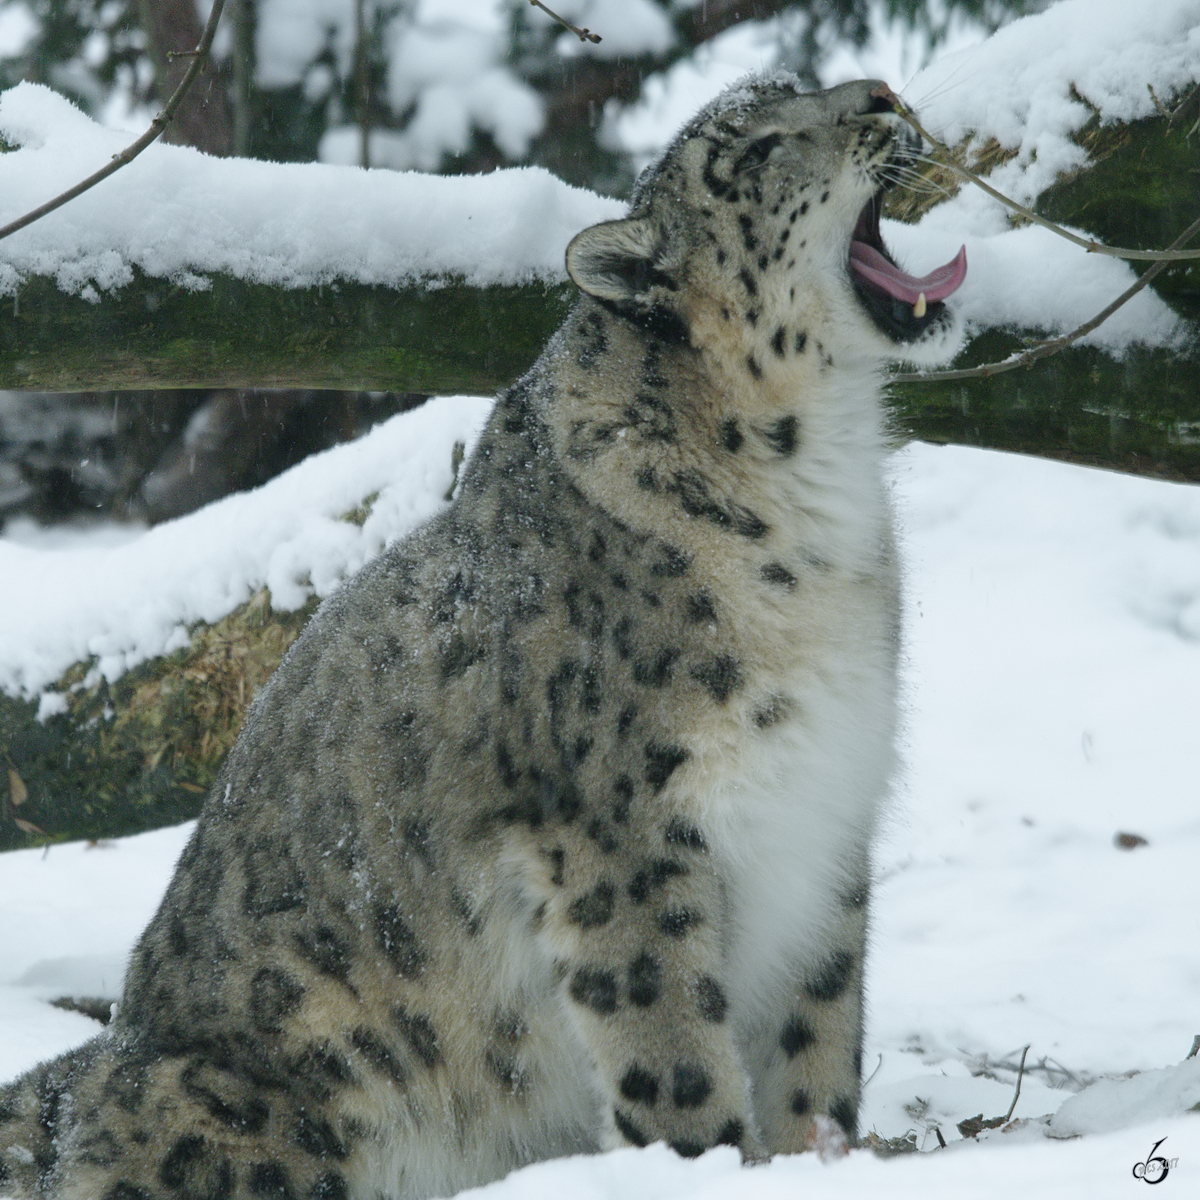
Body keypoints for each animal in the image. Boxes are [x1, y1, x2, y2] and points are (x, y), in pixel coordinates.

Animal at [0, 75, 960, 1200]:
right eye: (755, 149)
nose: (884, 92)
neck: (820, 497)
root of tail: (86, 1084)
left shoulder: (829, 815)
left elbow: (818, 1029)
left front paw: (822, 1154)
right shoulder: (618, 833)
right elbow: (673, 1042)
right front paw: (710, 1162)